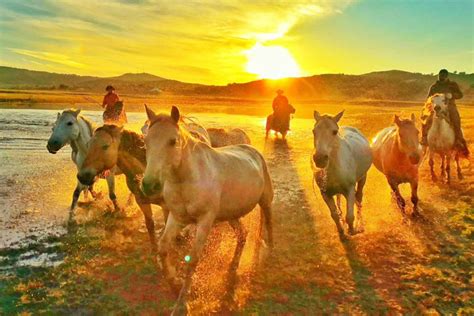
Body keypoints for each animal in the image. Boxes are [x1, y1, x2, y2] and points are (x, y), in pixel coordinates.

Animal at [141, 105, 274, 314]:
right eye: (146, 141)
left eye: (173, 141)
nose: (149, 185)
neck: (188, 179)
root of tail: (253, 150)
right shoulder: (176, 218)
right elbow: (162, 249)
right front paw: (174, 285)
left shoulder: (204, 221)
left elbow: (193, 260)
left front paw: (182, 304)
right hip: (231, 215)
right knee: (242, 234)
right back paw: (233, 267)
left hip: (266, 201)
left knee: (268, 223)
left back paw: (269, 252)